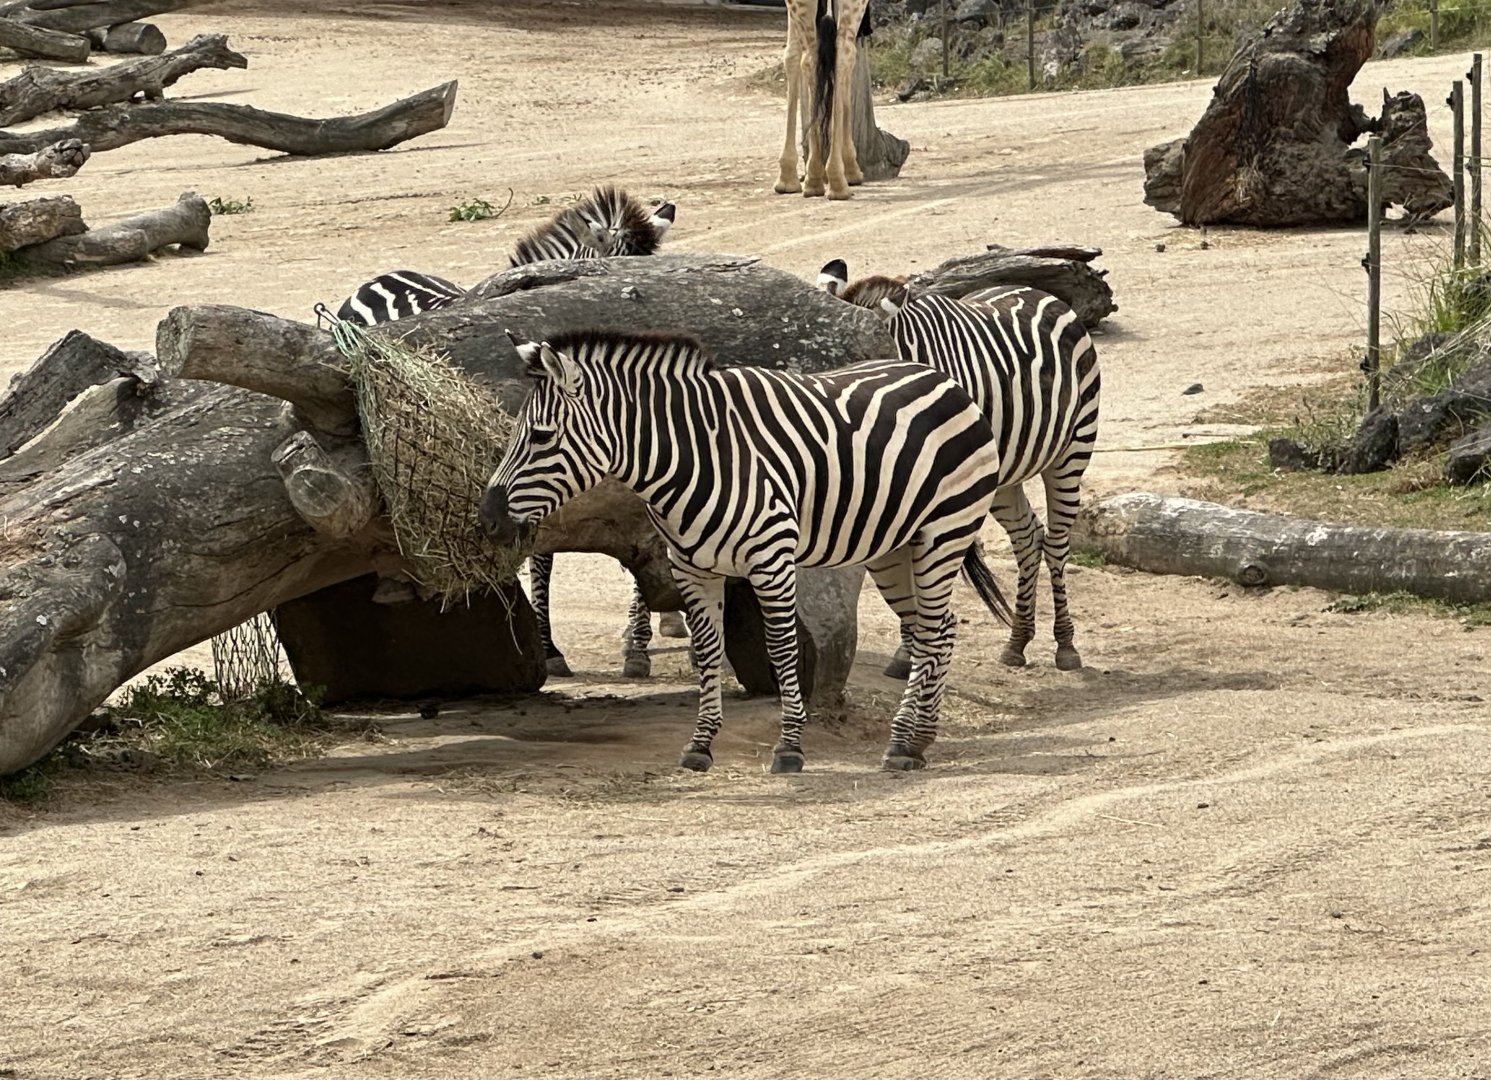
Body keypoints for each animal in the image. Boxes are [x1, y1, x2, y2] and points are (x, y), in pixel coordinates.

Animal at [478, 328, 1012, 774]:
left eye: (541, 436)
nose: (486, 521)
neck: (695, 456)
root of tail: (942, 378)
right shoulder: (692, 569)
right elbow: (709, 650)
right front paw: (700, 744)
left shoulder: (771, 561)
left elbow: (780, 649)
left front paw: (789, 747)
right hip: (894, 547)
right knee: (935, 629)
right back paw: (918, 739)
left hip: (945, 530)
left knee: (934, 631)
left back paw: (902, 743)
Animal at [819, 258, 1101, 674]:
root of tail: (1034, 291)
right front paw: (906, 651)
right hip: (1003, 476)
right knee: (1027, 538)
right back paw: (1018, 641)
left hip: (1072, 449)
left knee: (1057, 542)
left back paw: (1065, 644)